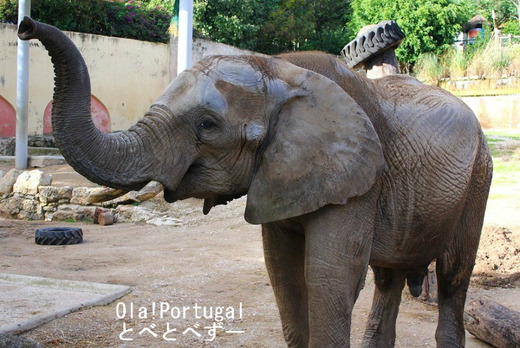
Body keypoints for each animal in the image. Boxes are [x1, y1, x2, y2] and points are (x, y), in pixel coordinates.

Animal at [19, 17, 492, 348]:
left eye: (207, 126)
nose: (25, 26)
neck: (280, 71)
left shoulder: (361, 176)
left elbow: (329, 277)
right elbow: (283, 274)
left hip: (478, 178)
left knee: (454, 275)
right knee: (388, 280)